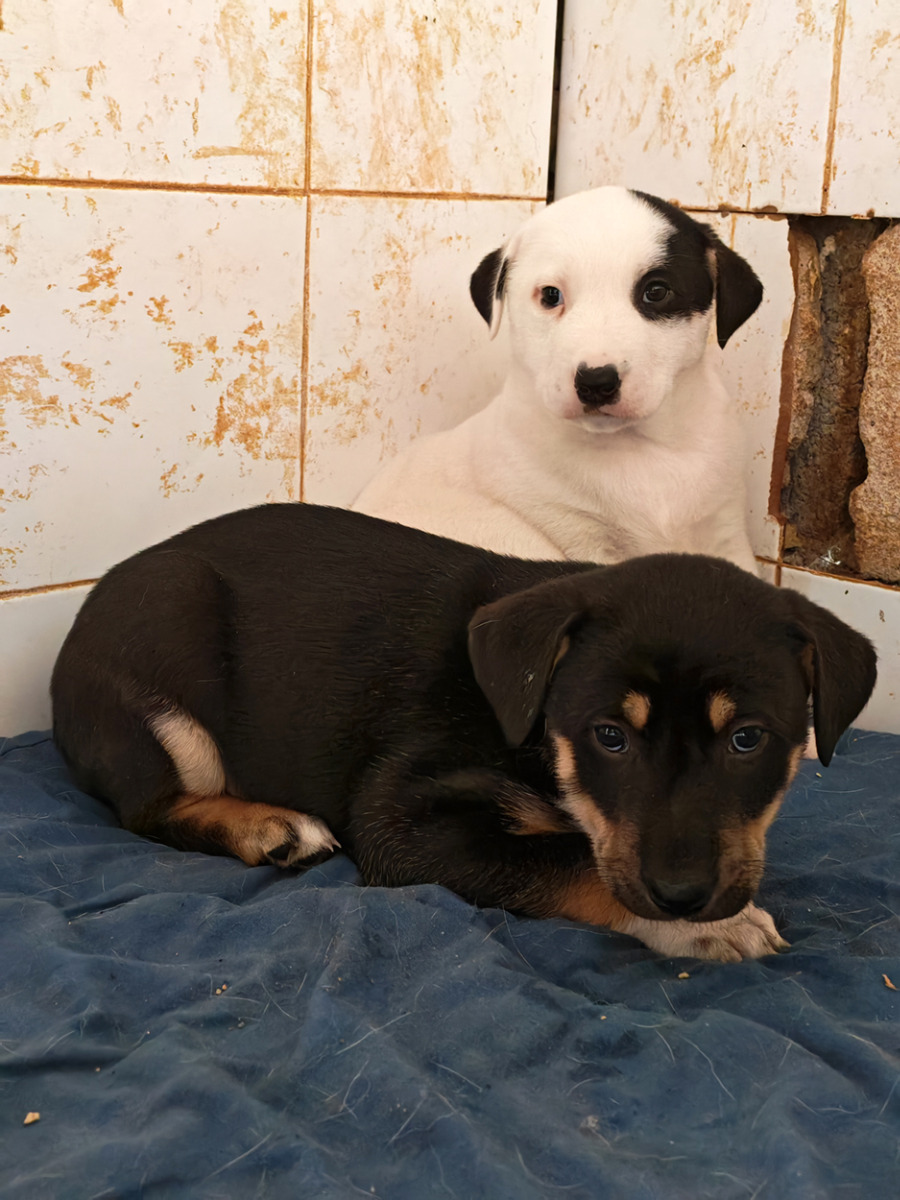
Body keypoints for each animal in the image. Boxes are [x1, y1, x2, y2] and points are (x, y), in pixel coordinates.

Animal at [51, 505, 876, 961]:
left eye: (748, 740)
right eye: (609, 736)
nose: (682, 896)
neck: (535, 731)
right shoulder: (399, 819)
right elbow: (566, 860)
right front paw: (708, 929)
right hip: (168, 654)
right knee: (151, 809)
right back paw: (270, 827)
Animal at [352, 186, 763, 572]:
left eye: (657, 291)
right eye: (551, 295)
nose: (595, 382)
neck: (639, 448)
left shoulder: (727, 533)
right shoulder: (581, 537)